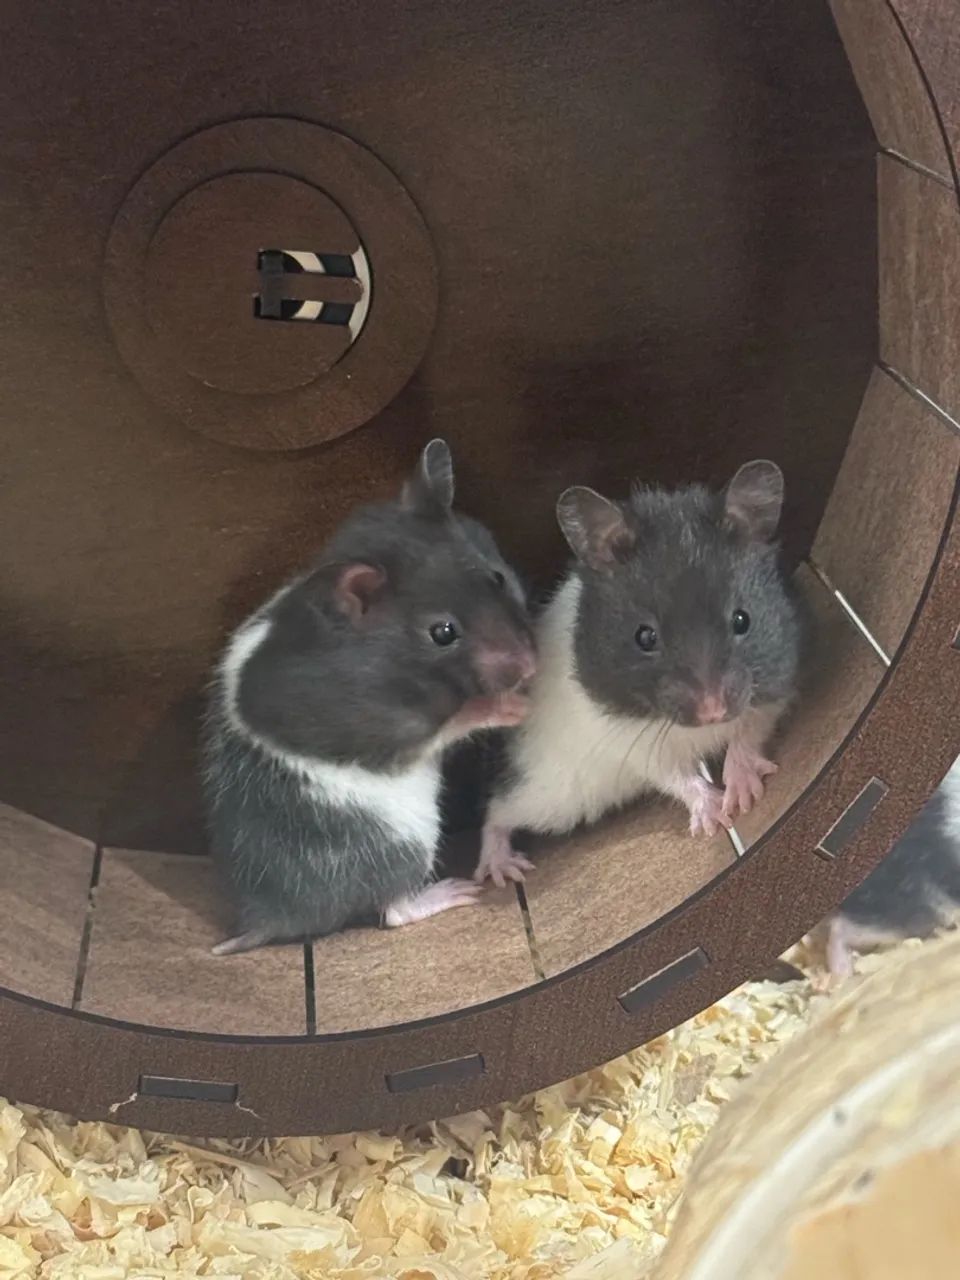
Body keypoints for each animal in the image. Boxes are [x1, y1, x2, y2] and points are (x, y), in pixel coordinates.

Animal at [203, 440, 537, 954]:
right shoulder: (389, 729)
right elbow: (457, 717)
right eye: (443, 632)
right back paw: (455, 891)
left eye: (496, 578)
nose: (532, 665)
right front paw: (519, 704)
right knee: (392, 910)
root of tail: (268, 920)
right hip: (403, 845)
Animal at [476, 461, 803, 886]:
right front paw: (714, 816)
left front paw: (744, 796)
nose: (713, 710)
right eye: (644, 637)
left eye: (742, 620)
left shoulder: (774, 689)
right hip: (549, 792)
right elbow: (676, 776)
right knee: (497, 809)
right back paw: (501, 869)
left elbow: (747, 735)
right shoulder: (634, 742)